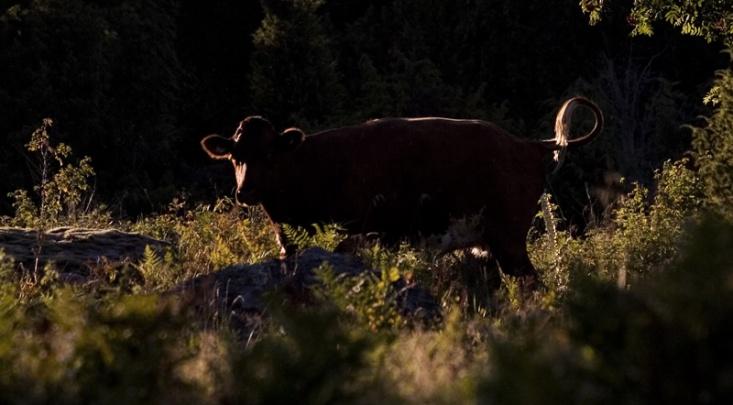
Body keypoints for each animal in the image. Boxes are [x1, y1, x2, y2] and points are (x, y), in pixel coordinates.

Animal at [200, 96, 600, 282]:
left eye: (270, 153)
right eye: (234, 155)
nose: (246, 191)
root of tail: (527, 145)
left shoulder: (354, 238)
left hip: (510, 240)